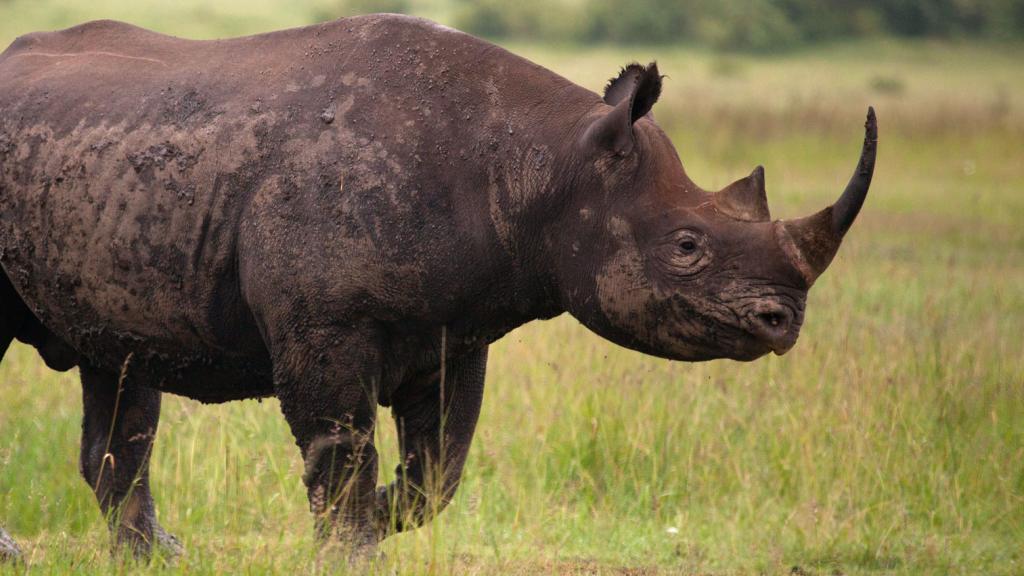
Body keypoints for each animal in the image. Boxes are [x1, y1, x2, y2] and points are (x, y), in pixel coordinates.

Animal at [0, 14, 876, 561]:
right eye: (688, 247)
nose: (783, 321)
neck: (544, 165)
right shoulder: (327, 325)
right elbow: (341, 448)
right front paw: (349, 548)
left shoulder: (457, 328)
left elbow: (439, 470)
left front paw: (388, 511)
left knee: (116, 372)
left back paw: (156, 556)